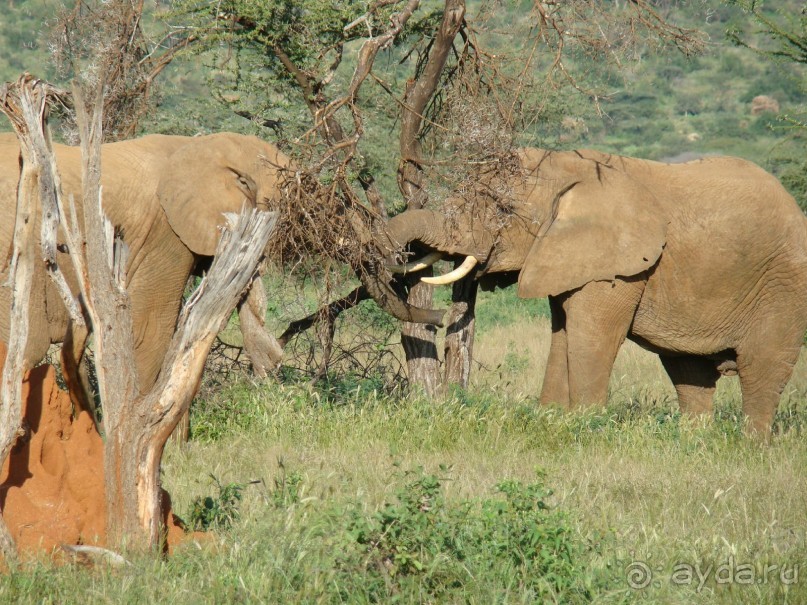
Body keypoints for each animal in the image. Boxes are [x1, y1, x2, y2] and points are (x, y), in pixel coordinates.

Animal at [382, 149, 807, 436]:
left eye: (501, 209)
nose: (444, 317)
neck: (571, 169)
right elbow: (562, 335)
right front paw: (551, 421)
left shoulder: (617, 266)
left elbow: (592, 338)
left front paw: (585, 428)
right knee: (690, 373)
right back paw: (693, 442)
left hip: (783, 284)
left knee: (762, 367)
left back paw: (750, 445)